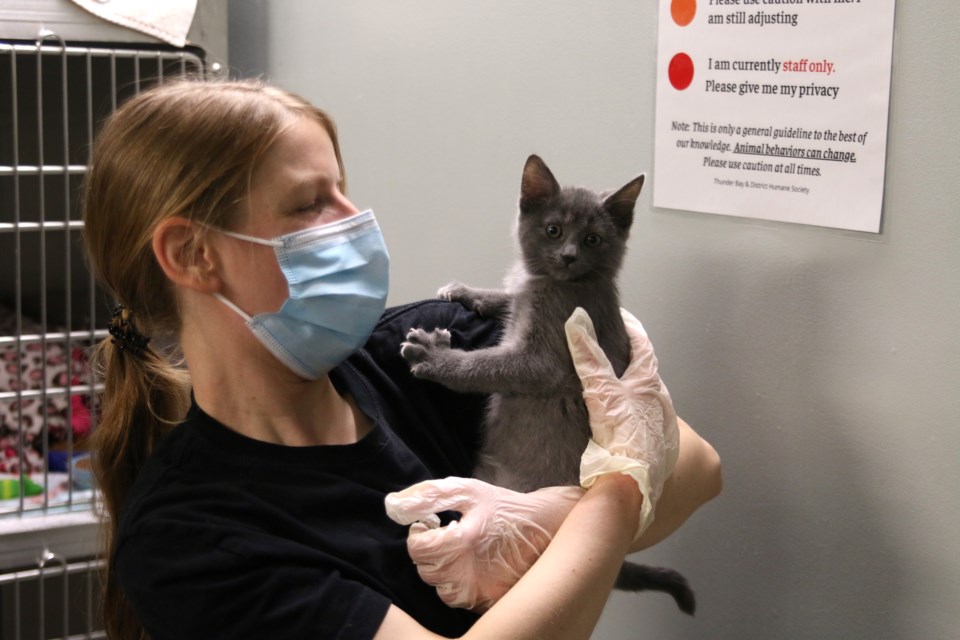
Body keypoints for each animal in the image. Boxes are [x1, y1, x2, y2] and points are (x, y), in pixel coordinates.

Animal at [402, 155, 692, 616]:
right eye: (553, 229)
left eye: (592, 239)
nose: (569, 255)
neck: (553, 284)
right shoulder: (525, 299)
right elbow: (508, 298)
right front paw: (465, 291)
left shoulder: (546, 359)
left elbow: (488, 365)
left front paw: (433, 355)